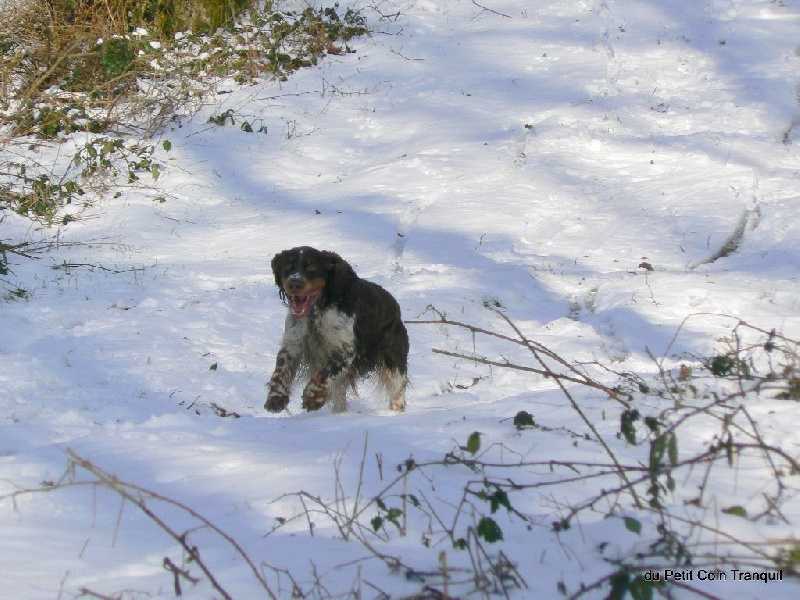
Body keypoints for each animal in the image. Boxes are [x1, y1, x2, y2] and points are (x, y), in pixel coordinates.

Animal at [266, 246, 410, 414]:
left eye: (312, 267)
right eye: (288, 266)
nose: (294, 283)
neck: (317, 311)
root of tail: (395, 307)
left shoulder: (346, 349)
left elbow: (324, 372)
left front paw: (312, 397)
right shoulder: (293, 344)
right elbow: (280, 372)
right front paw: (276, 398)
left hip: (393, 362)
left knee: (397, 391)